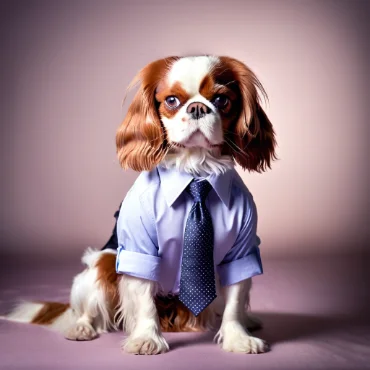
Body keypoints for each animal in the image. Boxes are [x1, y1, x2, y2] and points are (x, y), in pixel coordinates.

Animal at [2, 55, 274, 356]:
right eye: (171, 101)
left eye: (221, 99)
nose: (198, 108)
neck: (196, 174)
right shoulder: (138, 248)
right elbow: (144, 301)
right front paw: (146, 339)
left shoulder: (241, 251)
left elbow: (235, 301)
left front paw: (238, 338)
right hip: (102, 263)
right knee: (87, 306)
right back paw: (81, 328)